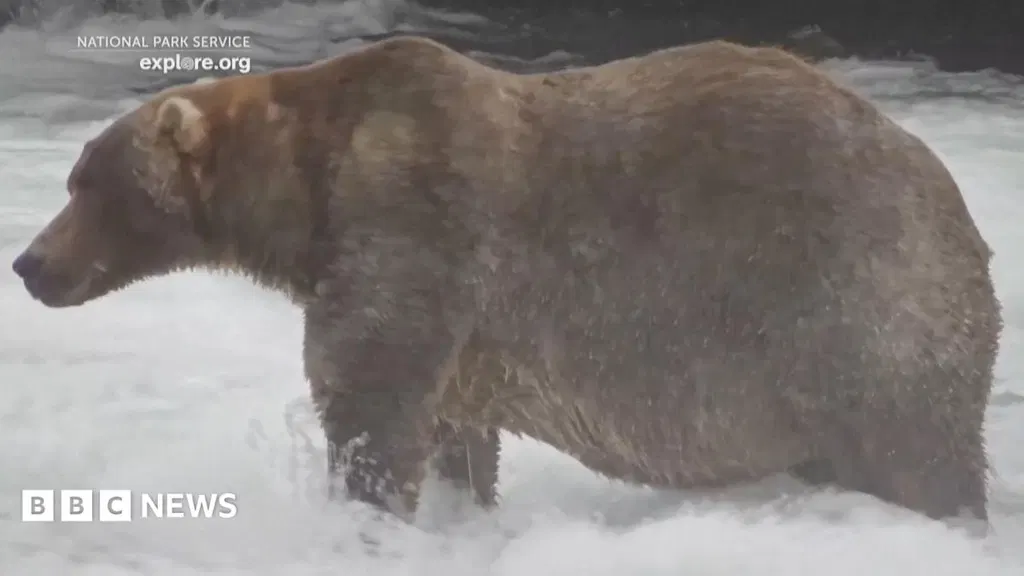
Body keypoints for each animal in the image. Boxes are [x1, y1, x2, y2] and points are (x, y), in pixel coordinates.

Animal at [12, 35, 1001, 527]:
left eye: (86, 183)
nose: (28, 264)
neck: (303, 192)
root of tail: (957, 202)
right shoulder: (455, 322)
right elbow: (452, 430)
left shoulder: (411, 223)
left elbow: (369, 401)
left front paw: (365, 512)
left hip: (854, 304)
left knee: (916, 452)